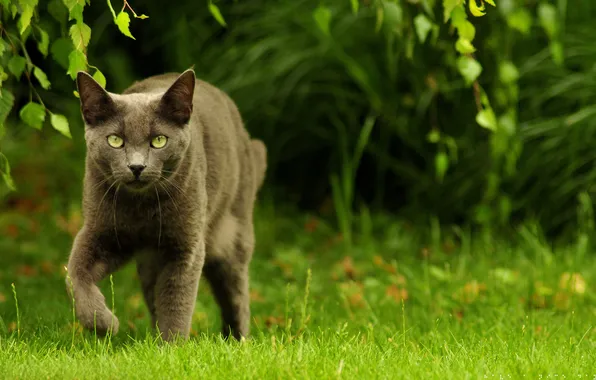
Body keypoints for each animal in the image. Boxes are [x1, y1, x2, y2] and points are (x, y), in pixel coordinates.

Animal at [64, 70, 266, 342]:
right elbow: (75, 274)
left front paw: (171, 347)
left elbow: (175, 300)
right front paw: (103, 324)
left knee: (236, 296)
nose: (136, 166)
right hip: (149, 261)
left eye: (159, 140)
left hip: (233, 236)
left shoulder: (186, 245)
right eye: (115, 140)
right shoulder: (100, 231)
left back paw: (237, 340)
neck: (142, 208)